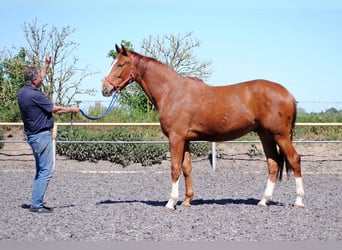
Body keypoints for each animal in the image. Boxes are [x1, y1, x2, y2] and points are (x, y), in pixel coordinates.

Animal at [101, 44, 304, 209]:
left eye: (120, 65)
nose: (105, 88)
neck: (171, 91)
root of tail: (289, 94)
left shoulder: (176, 137)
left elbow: (175, 167)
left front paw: (171, 202)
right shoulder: (186, 139)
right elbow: (186, 168)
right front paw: (187, 200)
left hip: (280, 135)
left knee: (294, 159)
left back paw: (299, 201)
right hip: (265, 135)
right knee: (273, 164)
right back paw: (263, 201)